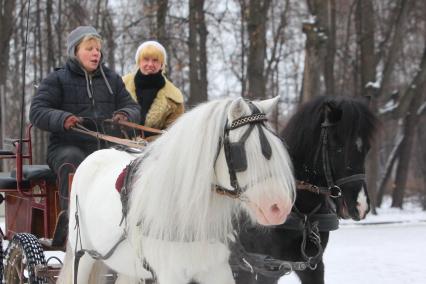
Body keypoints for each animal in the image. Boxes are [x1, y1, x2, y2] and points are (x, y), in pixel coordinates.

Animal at [58, 96, 294, 282]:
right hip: (83, 254)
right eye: (240, 154)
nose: (279, 207)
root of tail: (96, 155)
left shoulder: (216, 269)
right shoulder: (171, 273)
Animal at [233, 96, 380, 284]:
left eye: (367, 148)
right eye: (338, 147)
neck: (302, 214)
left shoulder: (313, 267)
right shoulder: (266, 268)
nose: (361, 205)